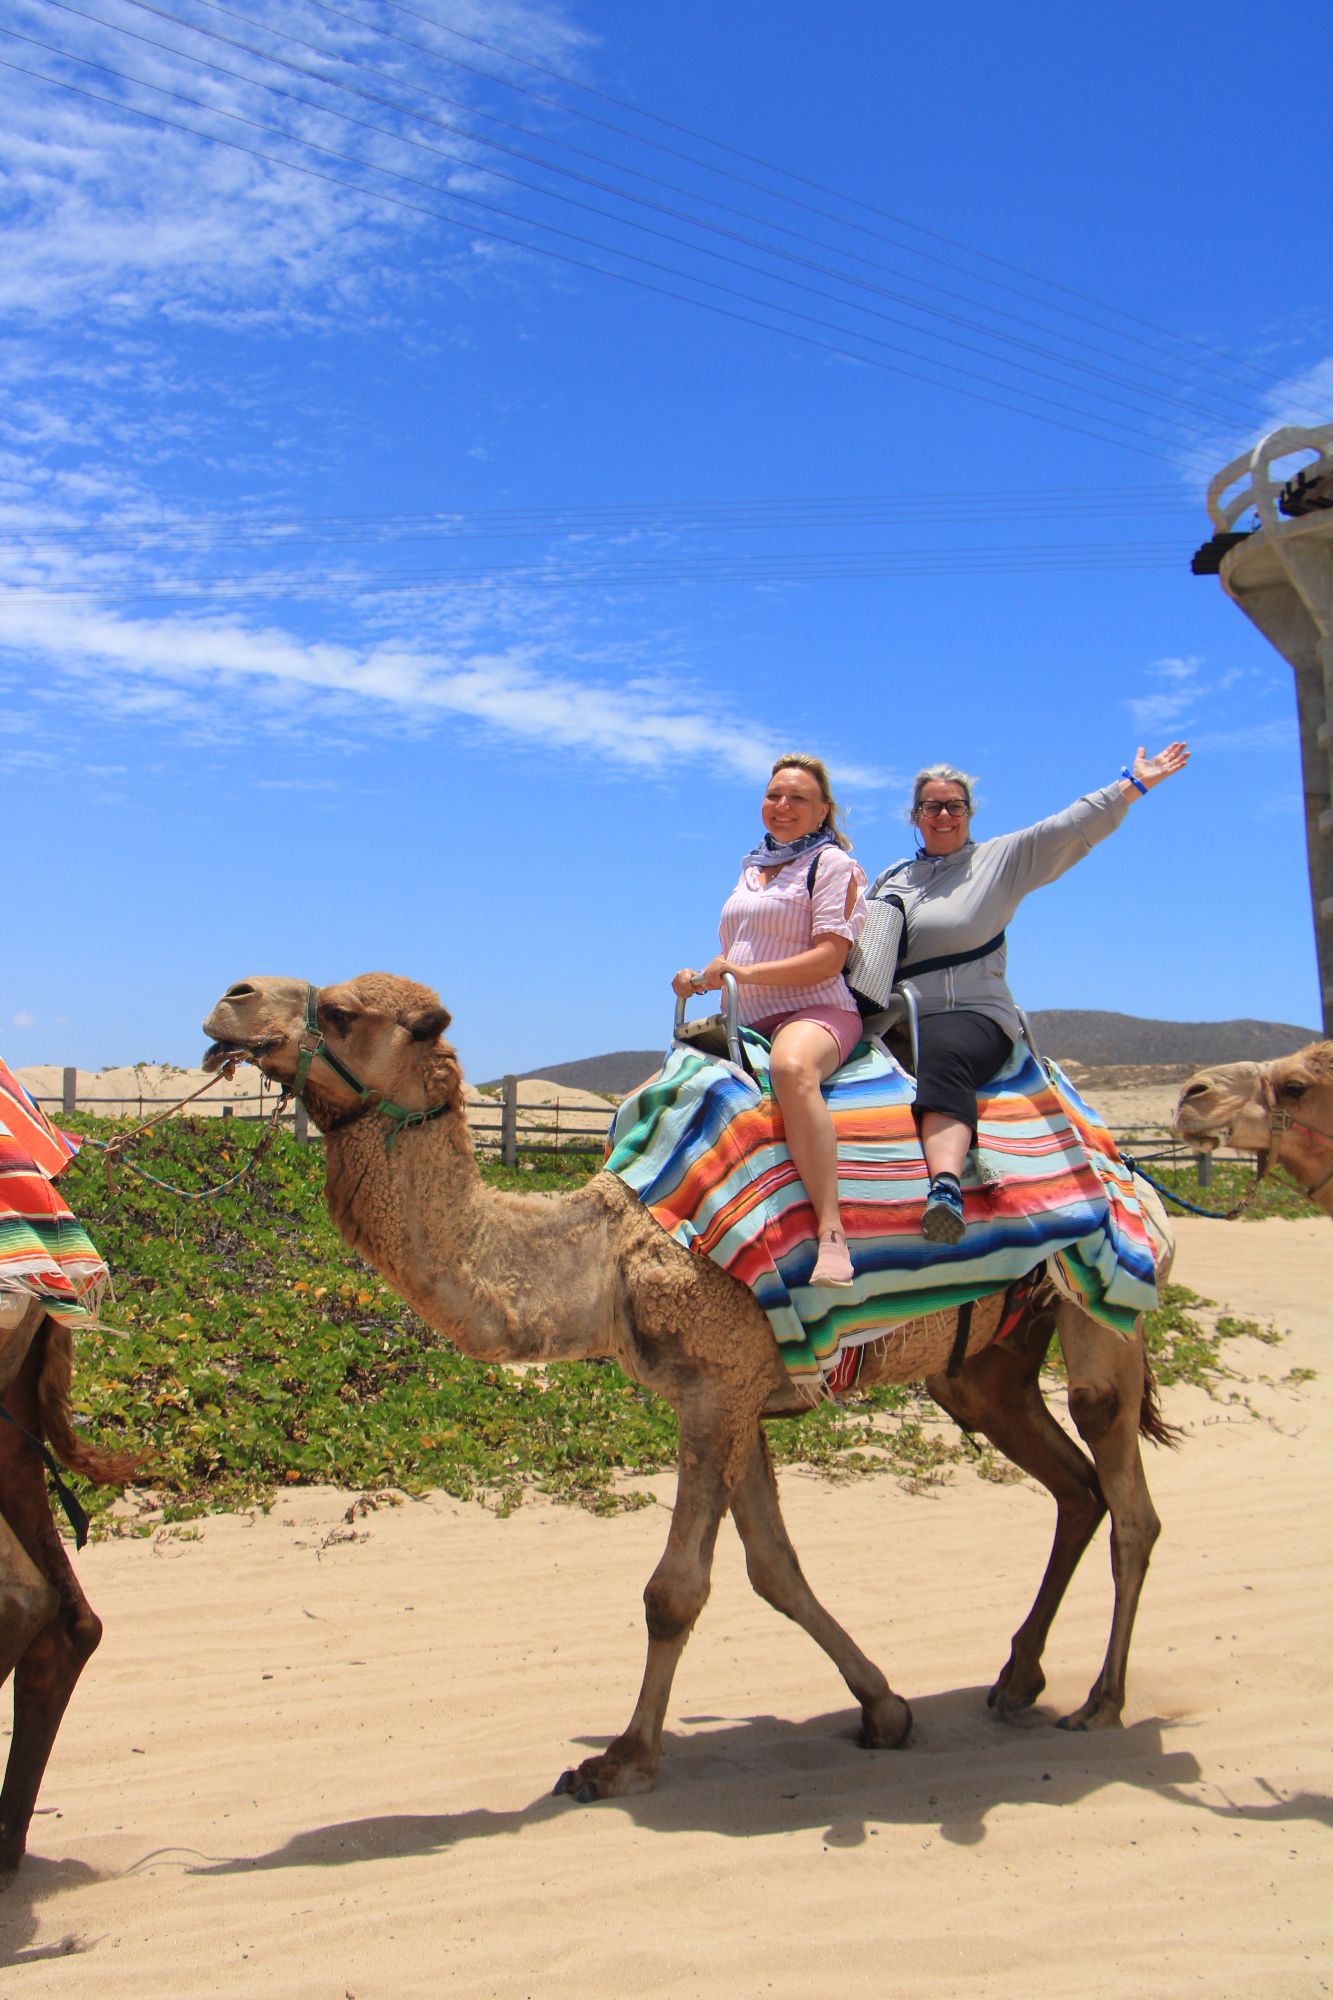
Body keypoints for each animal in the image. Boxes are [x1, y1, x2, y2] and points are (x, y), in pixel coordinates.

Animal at [202, 973, 1173, 1801]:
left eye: (339, 1010)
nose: (230, 1000)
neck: (607, 1258)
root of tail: (1123, 1157)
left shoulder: (718, 1387)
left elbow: (673, 1592)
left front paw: (621, 1761)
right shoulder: (731, 1393)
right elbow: (774, 1569)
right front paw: (885, 1709)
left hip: (1105, 1305)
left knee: (1128, 1497)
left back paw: (1102, 1702)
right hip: (982, 1367)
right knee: (1074, 1488)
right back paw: (1017, 1679)